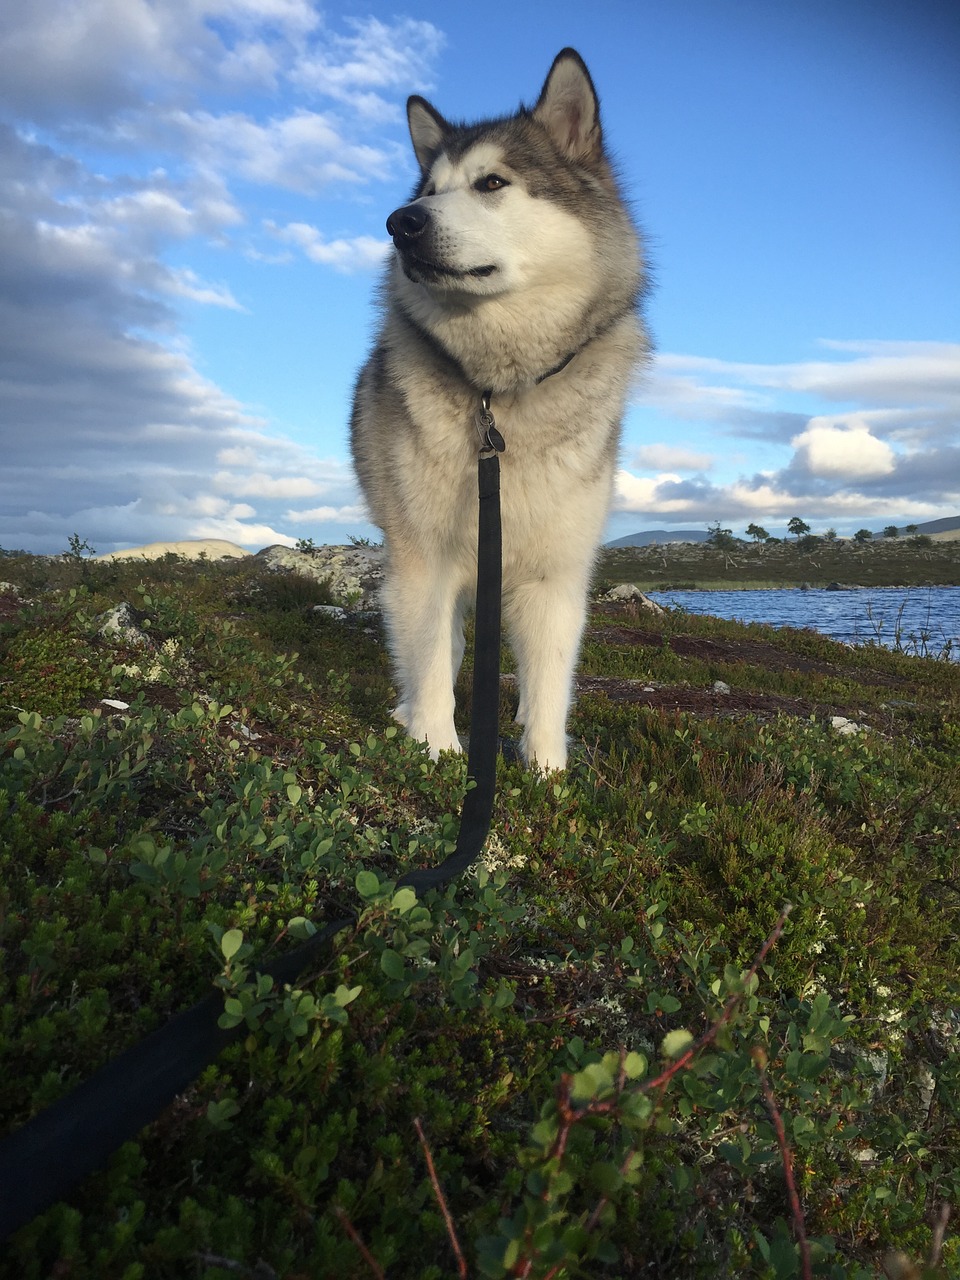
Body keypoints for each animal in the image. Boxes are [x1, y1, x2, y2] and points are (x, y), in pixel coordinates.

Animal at [350, 47, 650, 768]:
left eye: (491, 183)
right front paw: (436, 747)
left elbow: (548, 682)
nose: (402, 221)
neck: (501, 390)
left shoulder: (555, 575)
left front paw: (546, 770)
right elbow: (433, 658)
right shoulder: (423, 558)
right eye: (428, 190)